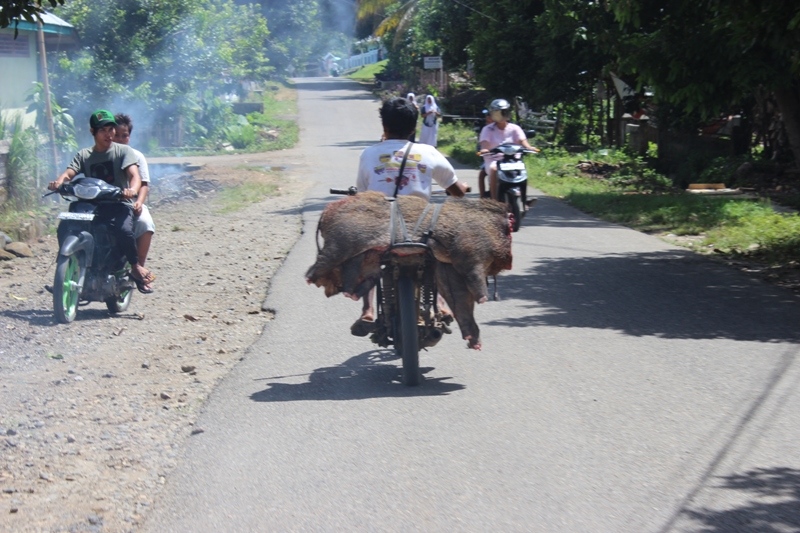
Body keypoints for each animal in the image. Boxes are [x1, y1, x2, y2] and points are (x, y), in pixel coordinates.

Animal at [306, 191, 512, 350]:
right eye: (510, 229)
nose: (510, 263)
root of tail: (327, 211)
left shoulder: (448, 266)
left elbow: (458, 298)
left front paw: (474, 342)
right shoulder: (469, 251)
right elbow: (473, 280)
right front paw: (484, 299)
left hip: (365, 259)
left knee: (359, 279)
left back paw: (350, 294)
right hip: (342, 243)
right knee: (321, 265)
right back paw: (312, 280)